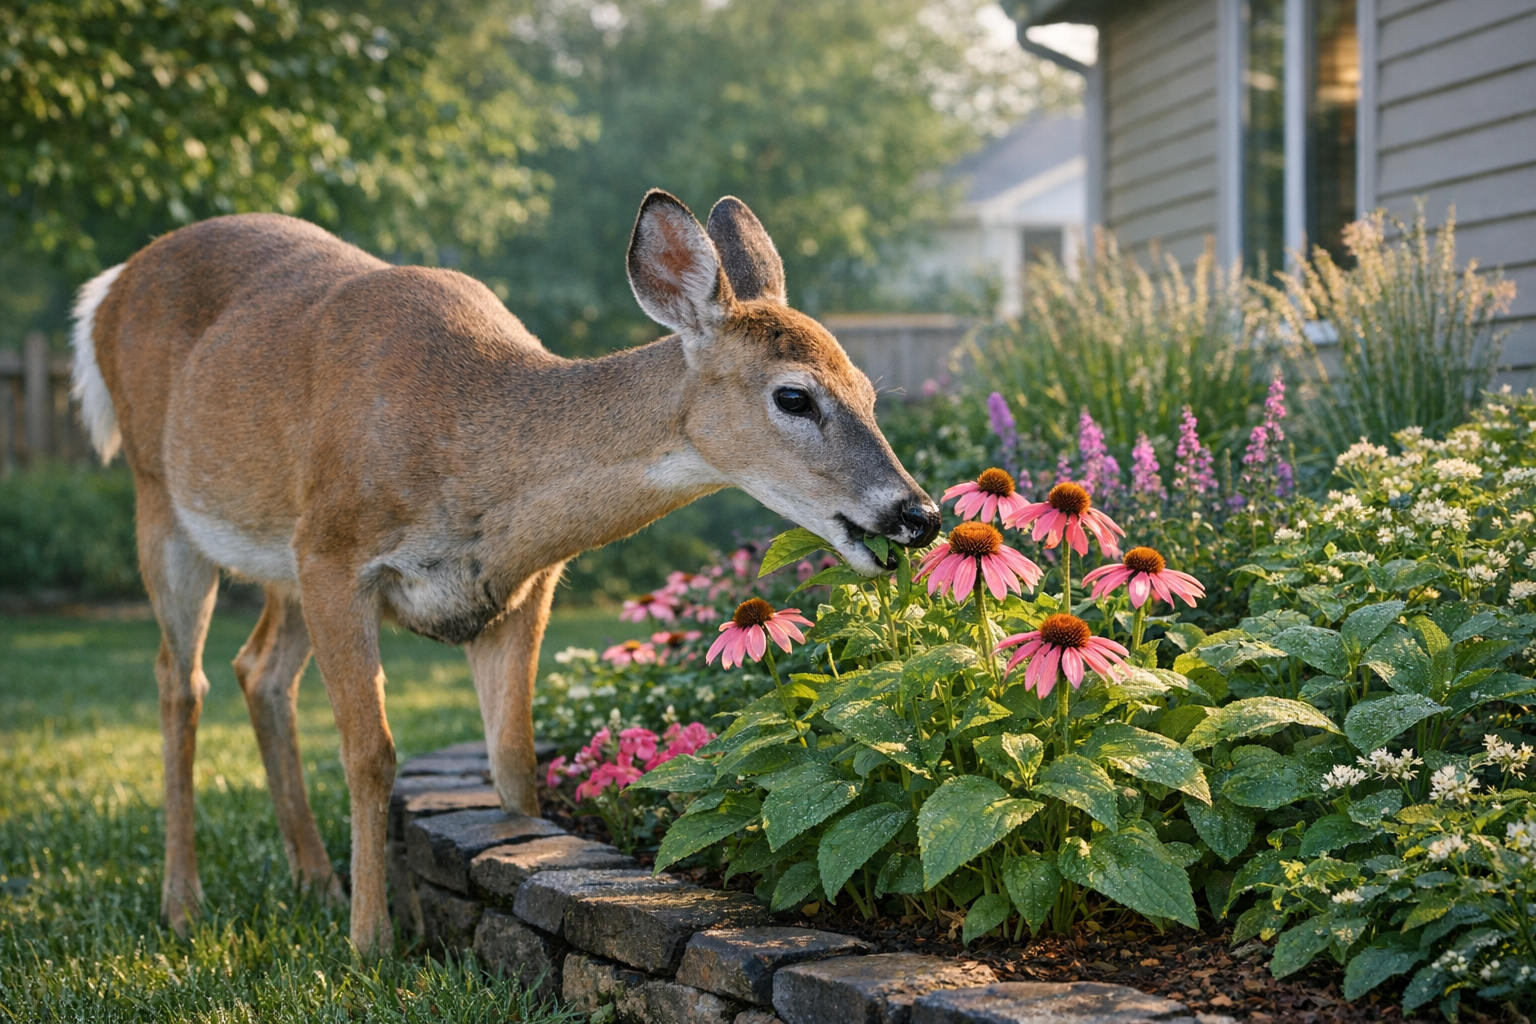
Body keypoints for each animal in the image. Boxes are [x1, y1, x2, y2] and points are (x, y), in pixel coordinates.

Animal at [69, 189, 941, 953]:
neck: (475, 446)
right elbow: (370, 753)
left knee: (258, 671)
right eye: (794, 397)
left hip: (276, 553)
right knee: (180, 680)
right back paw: (184, 905)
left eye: (868, 390)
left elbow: (515, 765)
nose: (920, 514)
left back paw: (313, 879)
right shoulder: (334, 553)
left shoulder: (517, 590)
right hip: (164, 500)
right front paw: (369, 943)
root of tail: (107, 289)